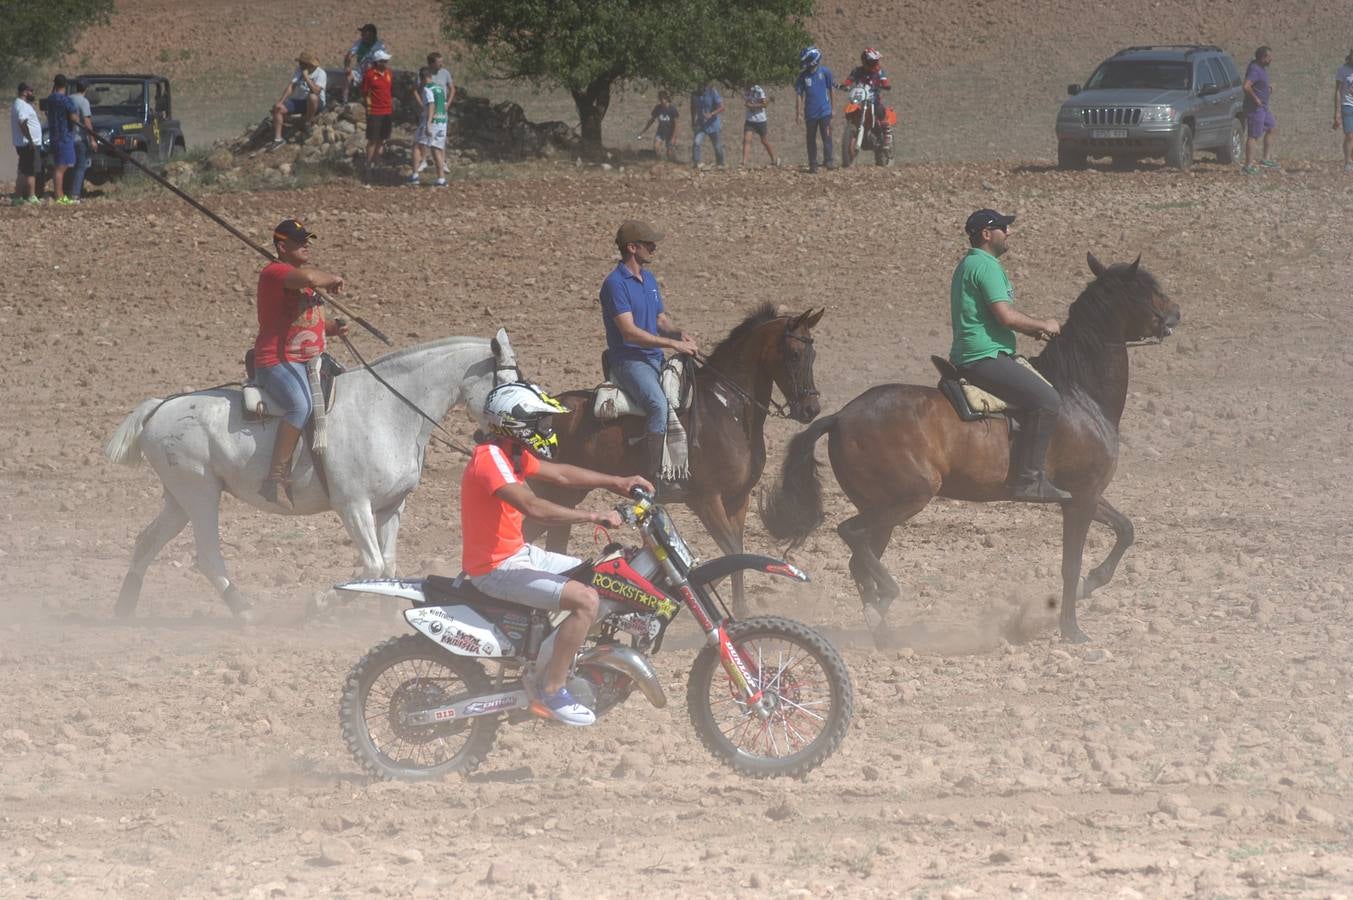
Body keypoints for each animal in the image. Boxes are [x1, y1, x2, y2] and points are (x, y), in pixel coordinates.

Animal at [102, 328, 516, 617]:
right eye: (509, 382)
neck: (387, 408)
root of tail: (162, 406)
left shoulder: (391, 507)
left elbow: (389, 566)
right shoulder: (353, 506)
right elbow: (372, 563)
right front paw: (317, 605)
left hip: (179, 500)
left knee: (147, 541)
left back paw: (124, 610)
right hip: (200, 494)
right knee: (206, 554)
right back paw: (243, 610)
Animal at [527, 305, 822, 614]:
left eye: (813, 354)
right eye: (794, 354)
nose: (811, 408)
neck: (727, 408)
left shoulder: (738, 500)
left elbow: (737, 552)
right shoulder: (706, 501)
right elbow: (731, 549)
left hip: (568, 496)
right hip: (556, 494)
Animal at [768, 255, 1179, 641]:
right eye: (1148, 290)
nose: (1176, 313)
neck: (1080, 393)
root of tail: (840, 416)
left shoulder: (1082, 495)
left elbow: (1125, 530)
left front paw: (1092, 583)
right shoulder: (1082, 497)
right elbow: (1071, 564)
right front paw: (1072, 628)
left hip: (881, 508)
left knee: (860, 558)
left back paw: (881, 626)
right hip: (906, 498)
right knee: (851, 535)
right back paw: (886, 598)